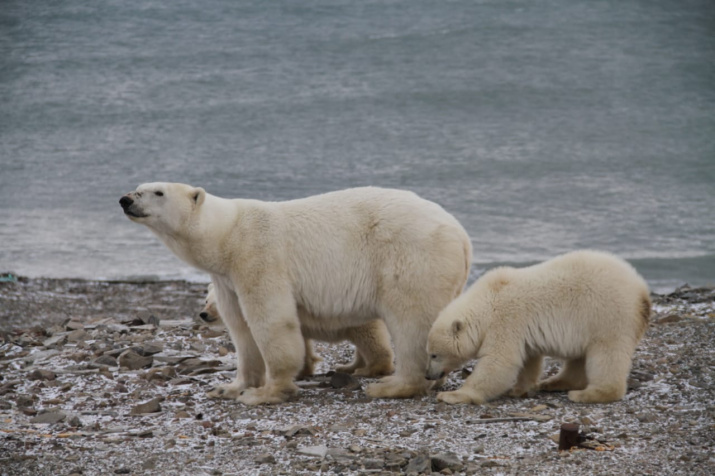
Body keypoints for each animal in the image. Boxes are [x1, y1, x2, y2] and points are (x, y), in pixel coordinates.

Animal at [120, 184, 472, 404]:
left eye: (158, 191)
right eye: (138, 185)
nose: (125, 199)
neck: (227, 234)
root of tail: (461, 234)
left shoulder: (258, 256)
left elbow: (270, 318)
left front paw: (266, 393)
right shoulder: (226, 278)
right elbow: (240, 329)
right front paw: (229, 388)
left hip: (411, 257)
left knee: (412, 321)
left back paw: (390, 386)